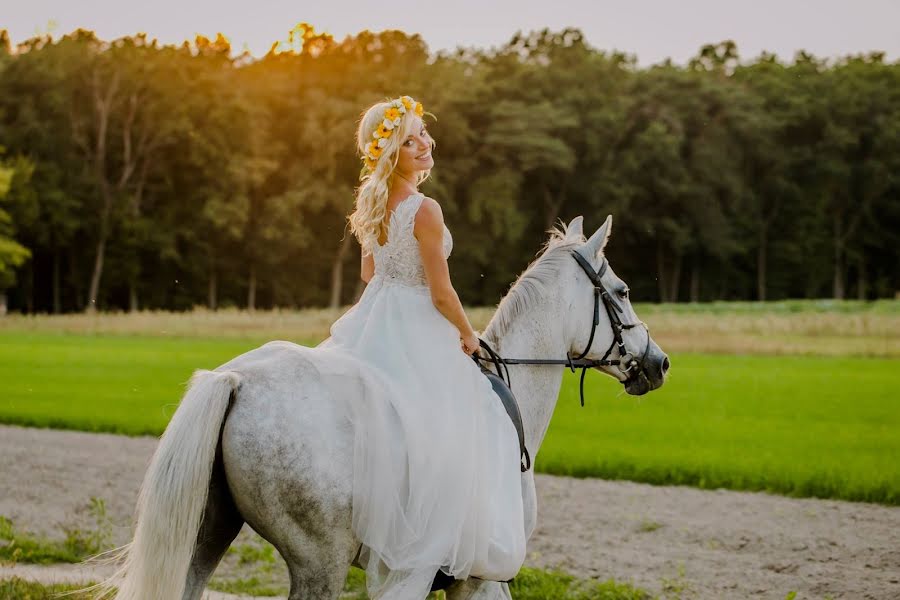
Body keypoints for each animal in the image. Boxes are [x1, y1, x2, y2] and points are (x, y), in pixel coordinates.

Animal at [103, 216, 668, 600]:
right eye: (621, 291)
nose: (658, 363)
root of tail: (236, 380)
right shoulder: (479, 578)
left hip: (207, 535)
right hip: (320, 565)